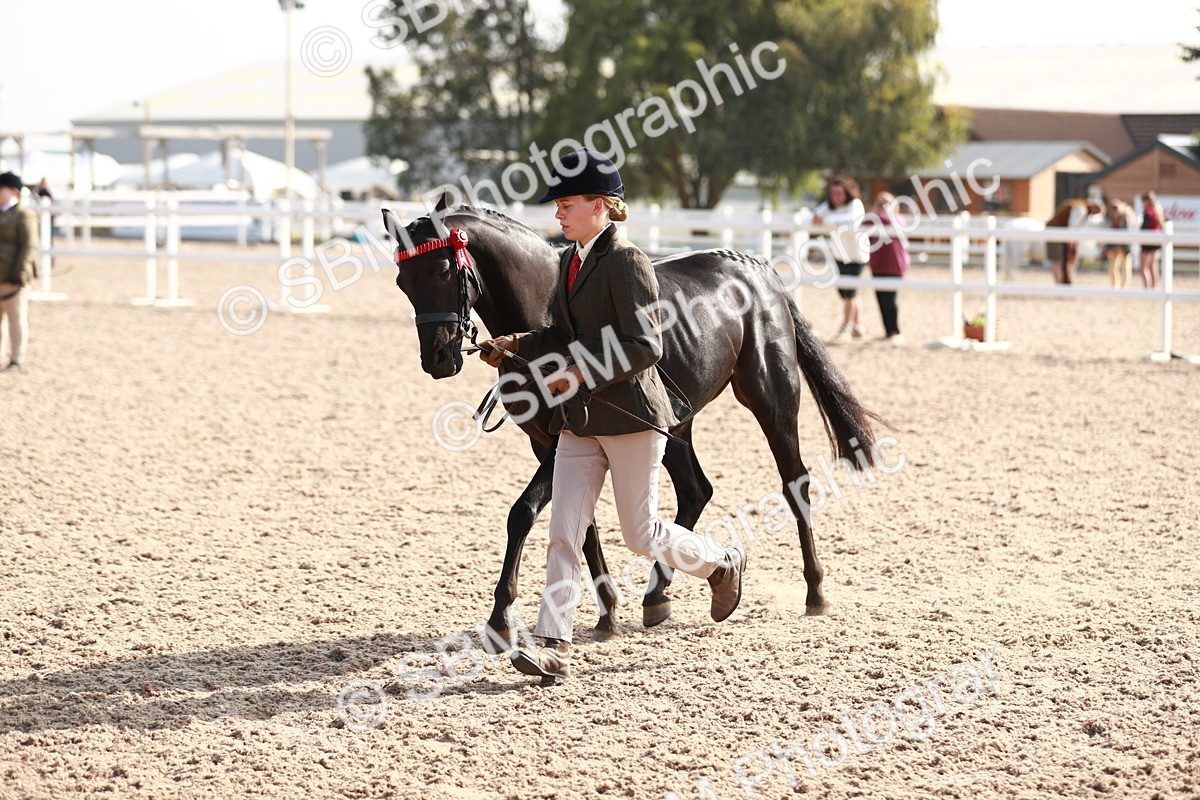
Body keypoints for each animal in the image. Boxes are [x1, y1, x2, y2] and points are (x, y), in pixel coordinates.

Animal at [383, 197, 883, 651]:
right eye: (402, 281)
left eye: (443, 272)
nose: (438, 359)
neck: (545, 309)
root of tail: (758, 269)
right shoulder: (552, 441)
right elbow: (582, 525)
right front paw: (606, 610)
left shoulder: (562, 438)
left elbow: (522, 513)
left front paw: (500, 619)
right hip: (675, 422)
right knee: (695, 490)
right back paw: (657, 595)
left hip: (771, 400)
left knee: (794, 482)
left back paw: (814, 590)